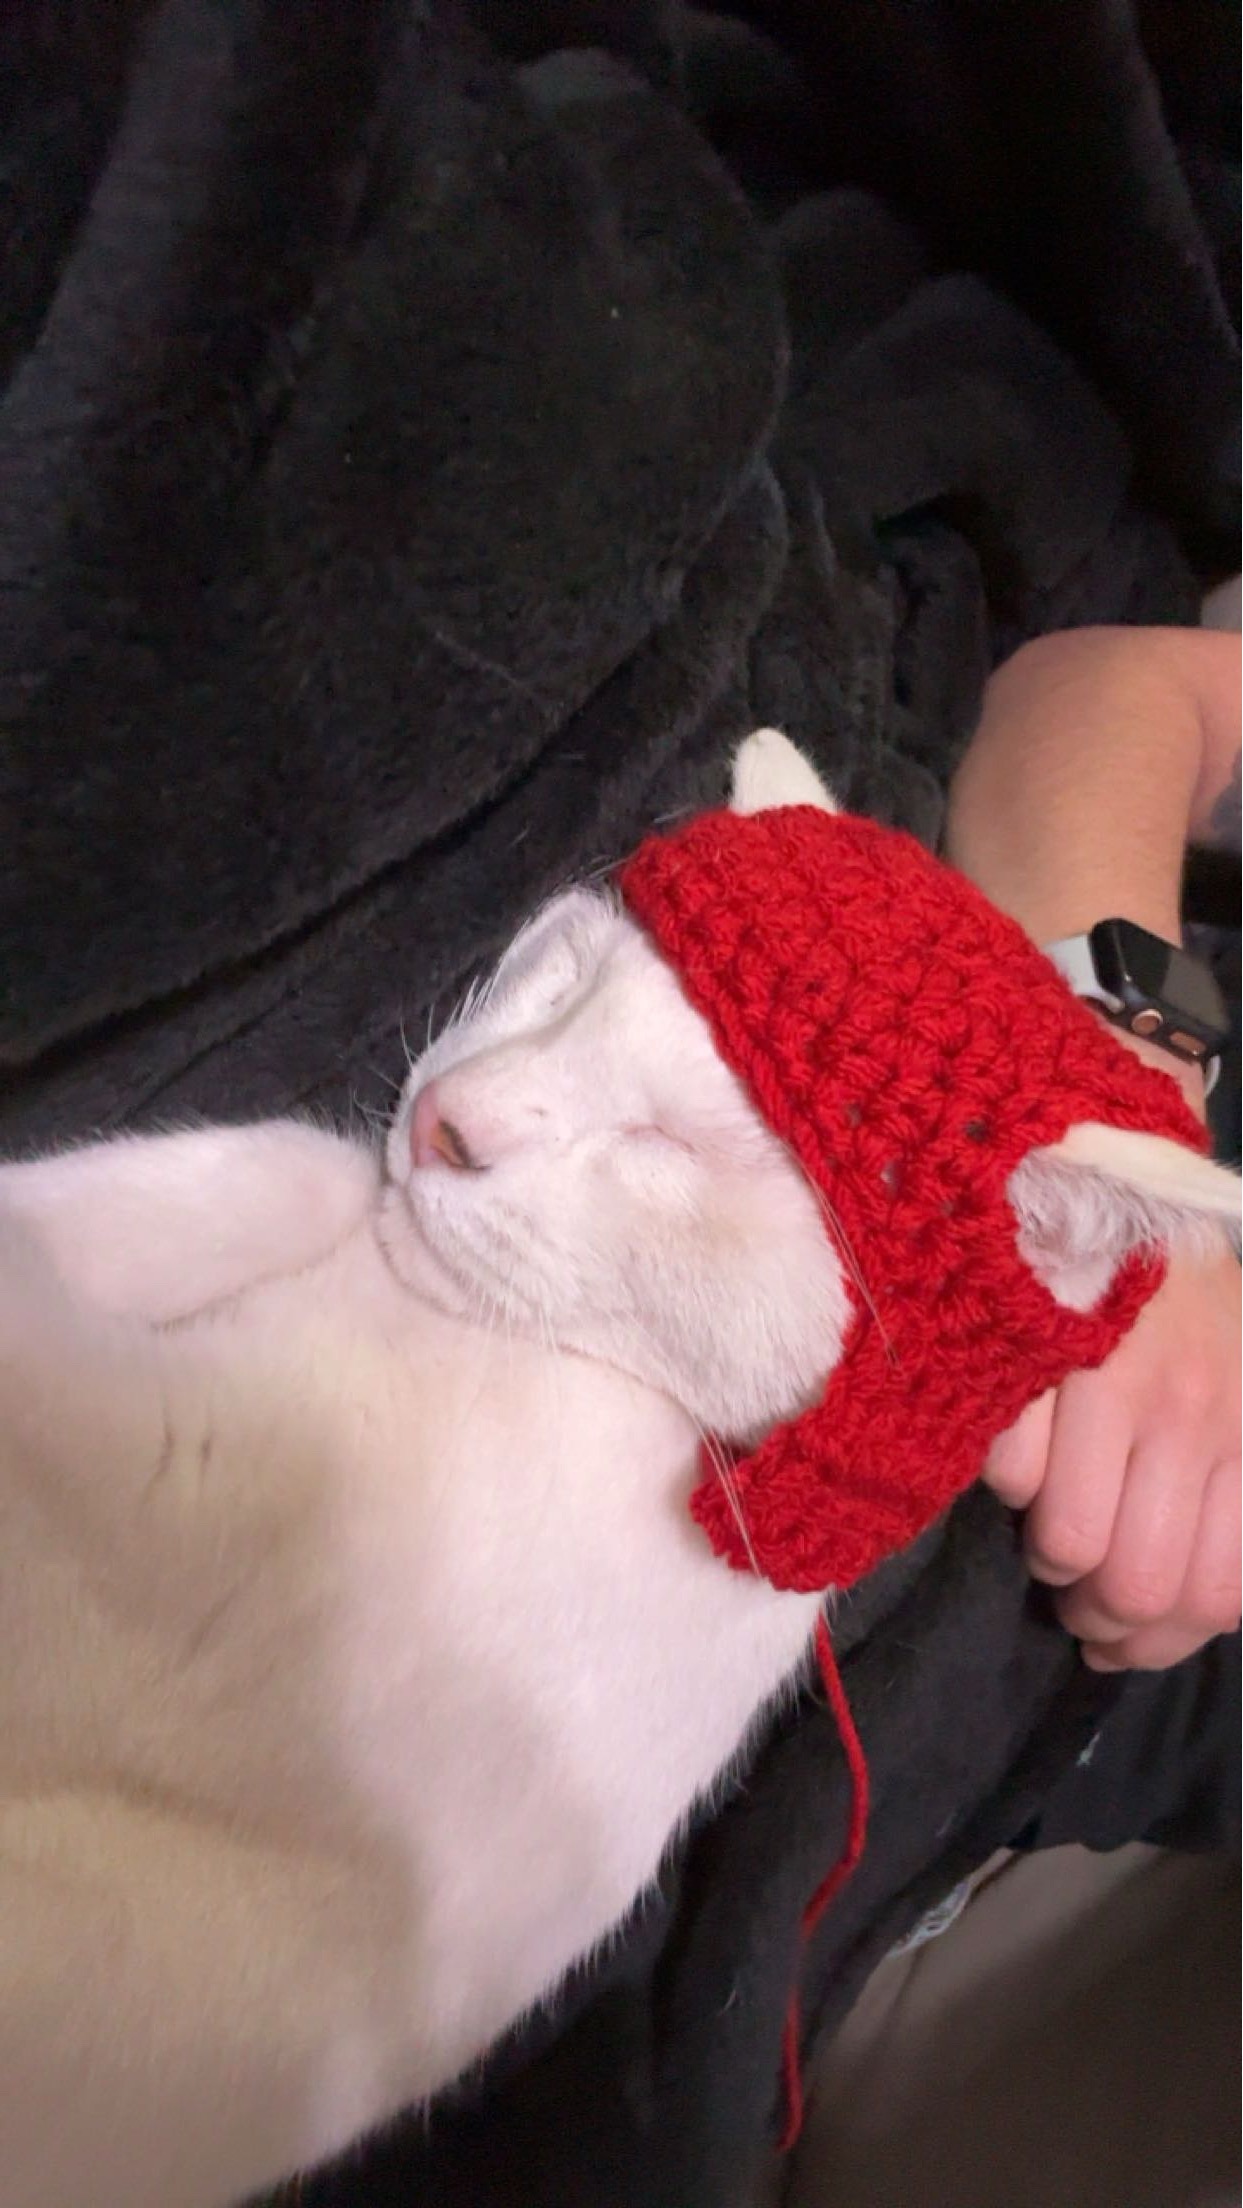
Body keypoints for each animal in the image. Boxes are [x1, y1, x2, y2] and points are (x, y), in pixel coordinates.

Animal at [0, 731, 1236, 2208]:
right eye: (566, 980)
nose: (445, 1124)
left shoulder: (173, 1508)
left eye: (673, 1149)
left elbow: (71, 1374)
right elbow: (250, 1179)